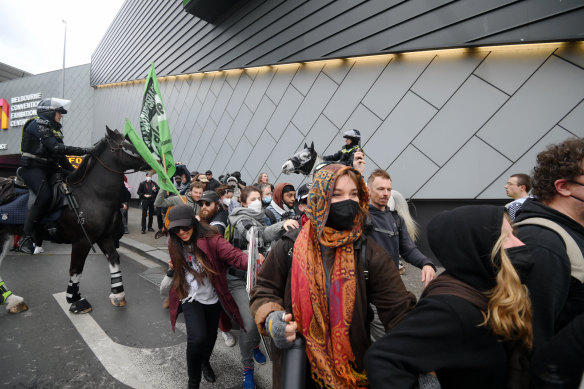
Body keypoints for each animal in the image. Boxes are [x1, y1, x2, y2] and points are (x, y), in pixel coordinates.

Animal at [0, 127, 148, 312]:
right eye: (129, 146)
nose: (154, 161)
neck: (92, 193)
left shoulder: (104, 237)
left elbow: (114, 259)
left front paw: (118, 295)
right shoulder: (82, 240)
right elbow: (76, 269)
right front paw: (75, 300)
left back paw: (12, 300)